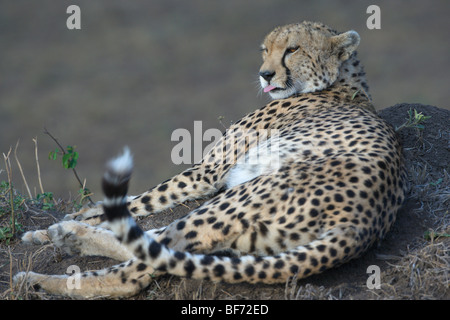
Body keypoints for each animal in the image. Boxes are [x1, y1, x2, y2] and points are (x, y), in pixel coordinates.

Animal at [14, 21, 408, 298]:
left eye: (293, 49)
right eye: (265, 50)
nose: (265, 74)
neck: (342, 83)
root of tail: (362, 224)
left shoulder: (207, 171)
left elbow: (142, 199)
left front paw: (66, 222)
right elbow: (127, 206)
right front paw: (50, 228)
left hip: (237, 199)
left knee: (138, 268)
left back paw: (38, 279)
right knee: (155, 242)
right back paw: (64, 236)